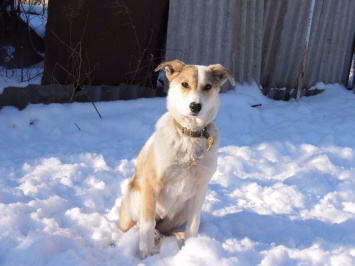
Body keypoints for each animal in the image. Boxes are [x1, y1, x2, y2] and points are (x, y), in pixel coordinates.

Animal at [119, 59, 236, 258]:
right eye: (185, 84)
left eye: (208, 86)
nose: (195, 106)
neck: (190, 135)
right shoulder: (152, 185)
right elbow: (147, 223)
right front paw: (146, 252)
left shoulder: (200, 190)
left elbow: (193, 225)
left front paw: (192, 248)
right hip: (134, 195)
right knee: (138, 225)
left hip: (182, 209)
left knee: (165, 228)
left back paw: (178, 234)